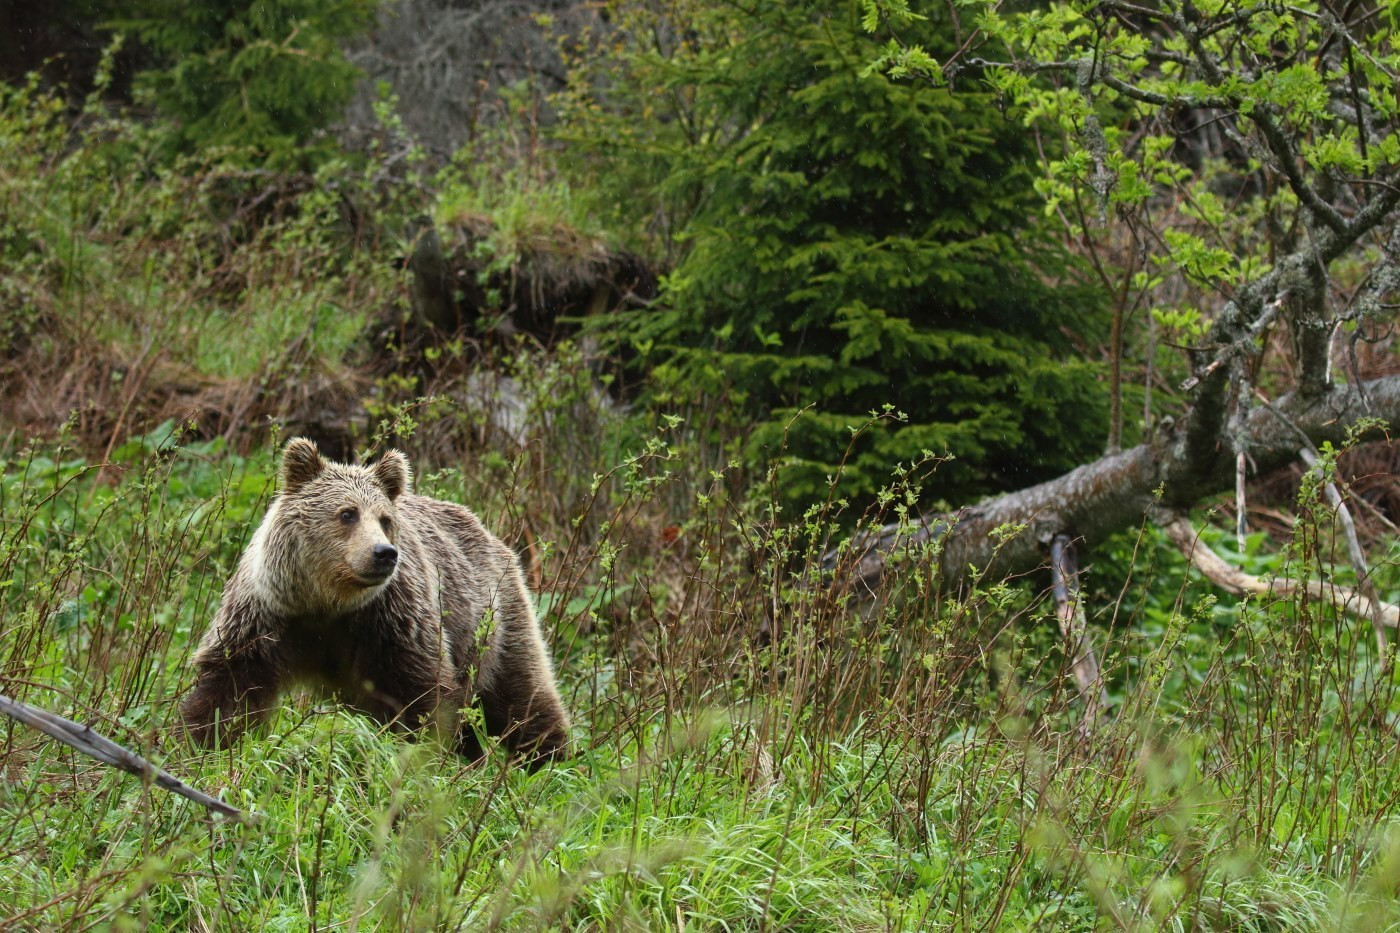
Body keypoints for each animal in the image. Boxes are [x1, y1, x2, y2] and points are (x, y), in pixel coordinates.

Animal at [180, 437, 568, 762]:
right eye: (347, 513)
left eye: (385, 519)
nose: (384, 553)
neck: (327, 601)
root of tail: (489, 532)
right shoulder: (268, 613)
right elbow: (231, 683)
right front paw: (202, 744)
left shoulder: (391, 620)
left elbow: (421, 693)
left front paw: (420, 753)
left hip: (493, 616)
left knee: (521, 692)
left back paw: (548, 760)